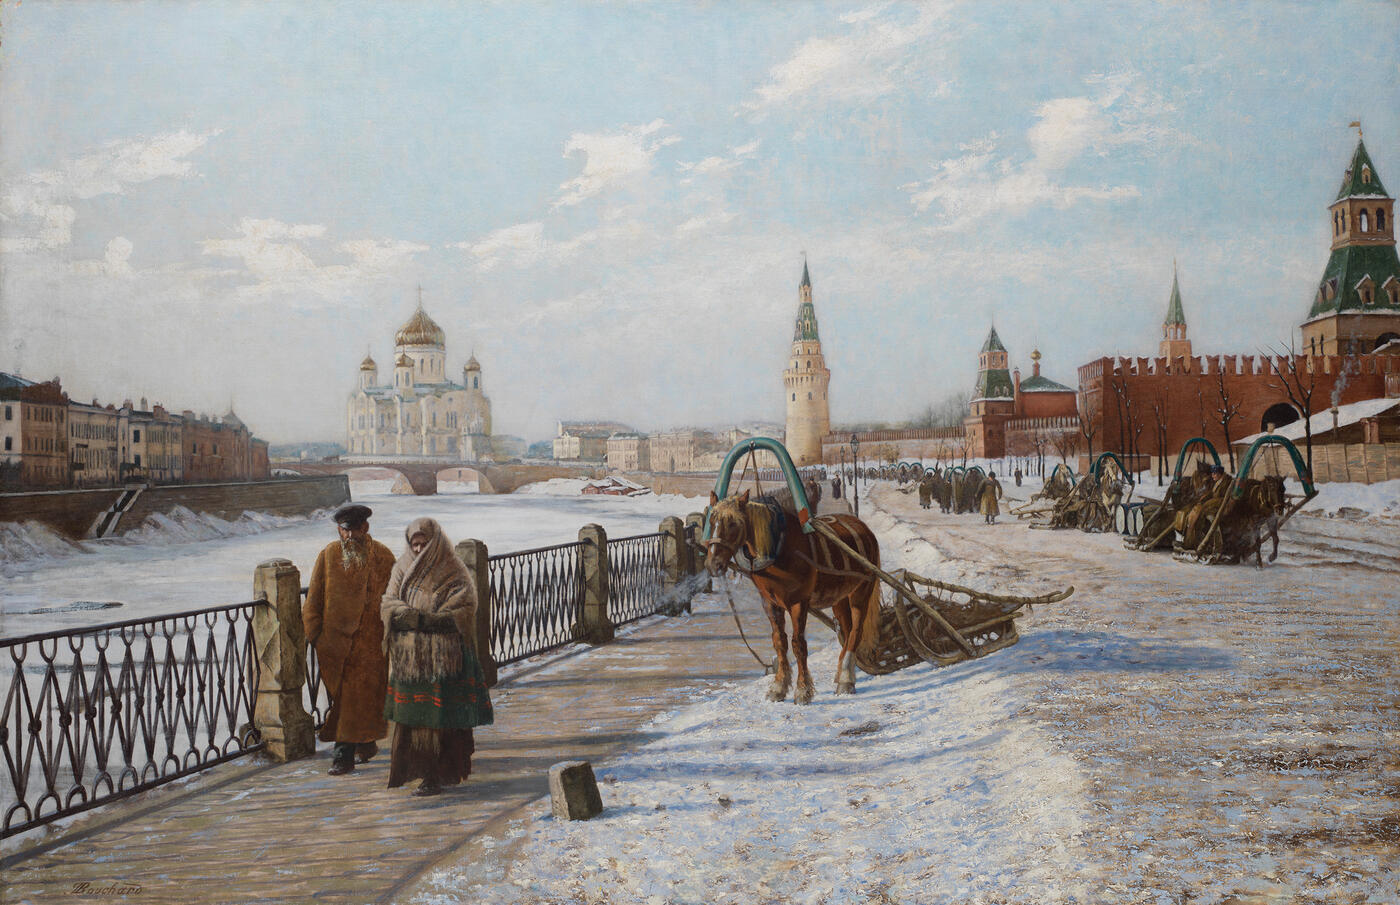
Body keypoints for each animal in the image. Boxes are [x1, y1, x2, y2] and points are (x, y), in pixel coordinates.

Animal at [705, 490, 879, 708]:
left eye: (733, 523)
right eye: (712, 521)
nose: (713, 564)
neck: (779, 551)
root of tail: (864, 527)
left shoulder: (799, 603)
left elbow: (798, 645)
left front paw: (803, 691)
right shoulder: (770, 603)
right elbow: (780, 642)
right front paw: (778, 688)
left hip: (861, 591)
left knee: (856, 631)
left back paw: (846, 680)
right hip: (839, 598)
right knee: (847, 632)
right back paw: (843, 675)